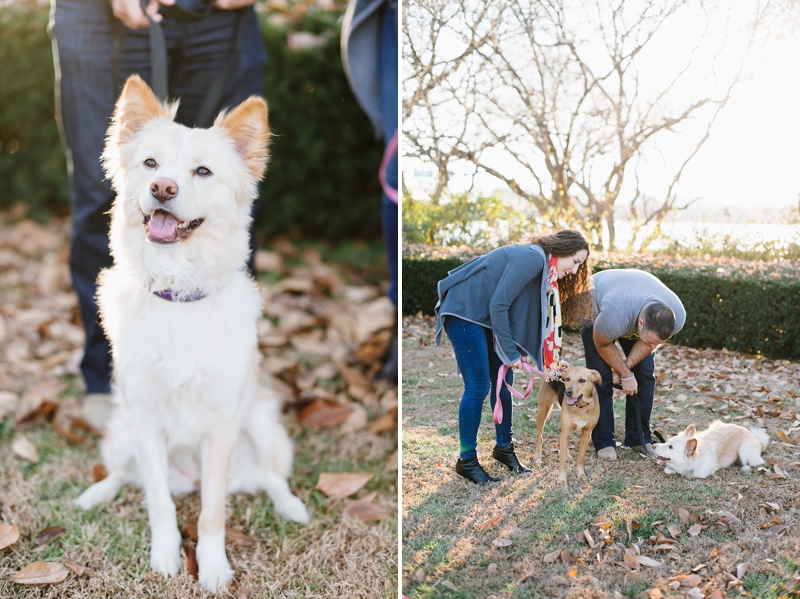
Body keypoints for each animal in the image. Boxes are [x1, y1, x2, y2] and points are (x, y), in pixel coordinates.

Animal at [73, 76, 310, 596]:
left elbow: (212, 513)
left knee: (271, 476)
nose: (162, 188)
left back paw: (290, 505)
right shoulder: (143, 420)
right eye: (150, 164)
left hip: (264, 426)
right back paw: (95, 494)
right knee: (125, 475)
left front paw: (214, 566)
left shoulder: (221, 426)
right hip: (121, 432)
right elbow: (160, 502)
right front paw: (165, 557)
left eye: (203, 172)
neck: (176, 293)